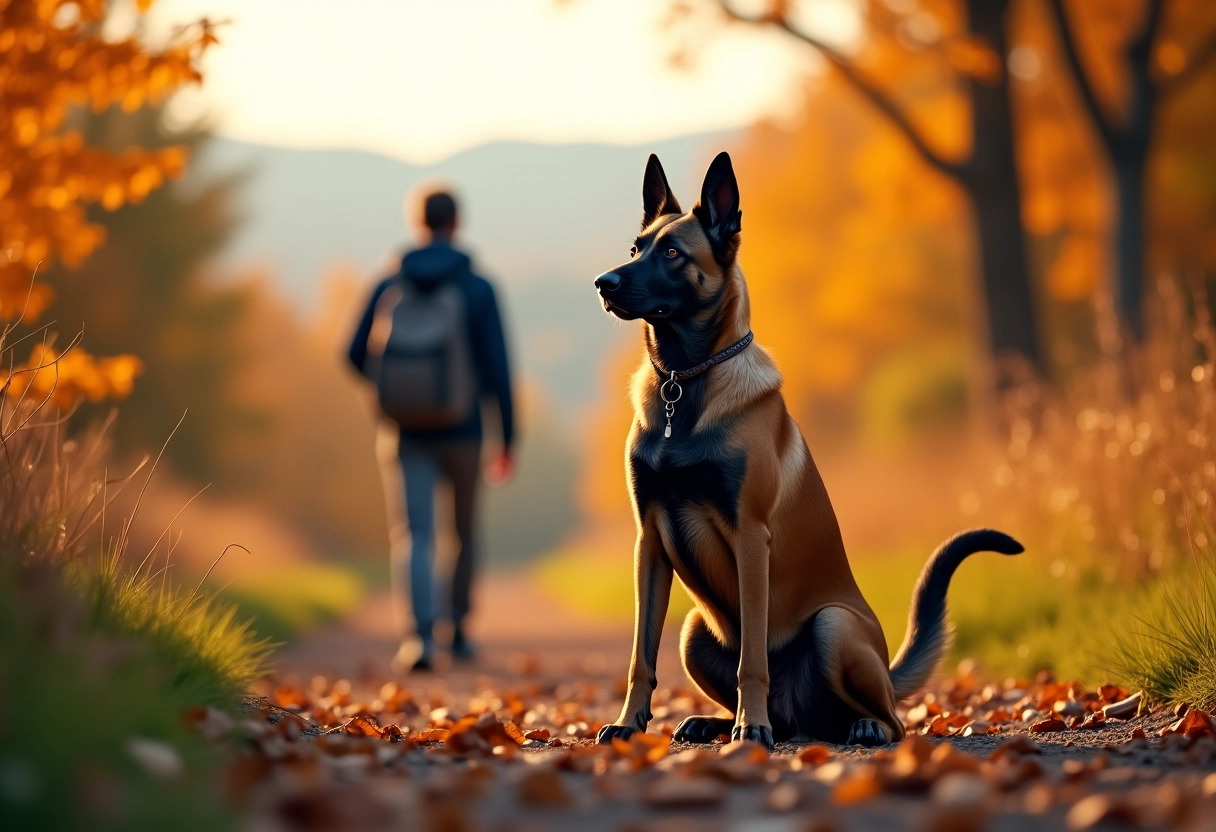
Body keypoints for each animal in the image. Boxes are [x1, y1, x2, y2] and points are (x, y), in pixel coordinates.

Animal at [593, 152, 1021, 749]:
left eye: (673, 253)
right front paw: (630, 722)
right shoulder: (649, 542)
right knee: (795, 714)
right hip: (694, 631)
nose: (604, 283)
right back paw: (716, 722)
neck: (687, 379)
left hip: (833, 625)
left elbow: (752, 657)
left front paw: (750, 727)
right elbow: (641, 656)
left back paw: (853, 726)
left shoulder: (750, 538)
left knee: (891, 718)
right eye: (636, 249)